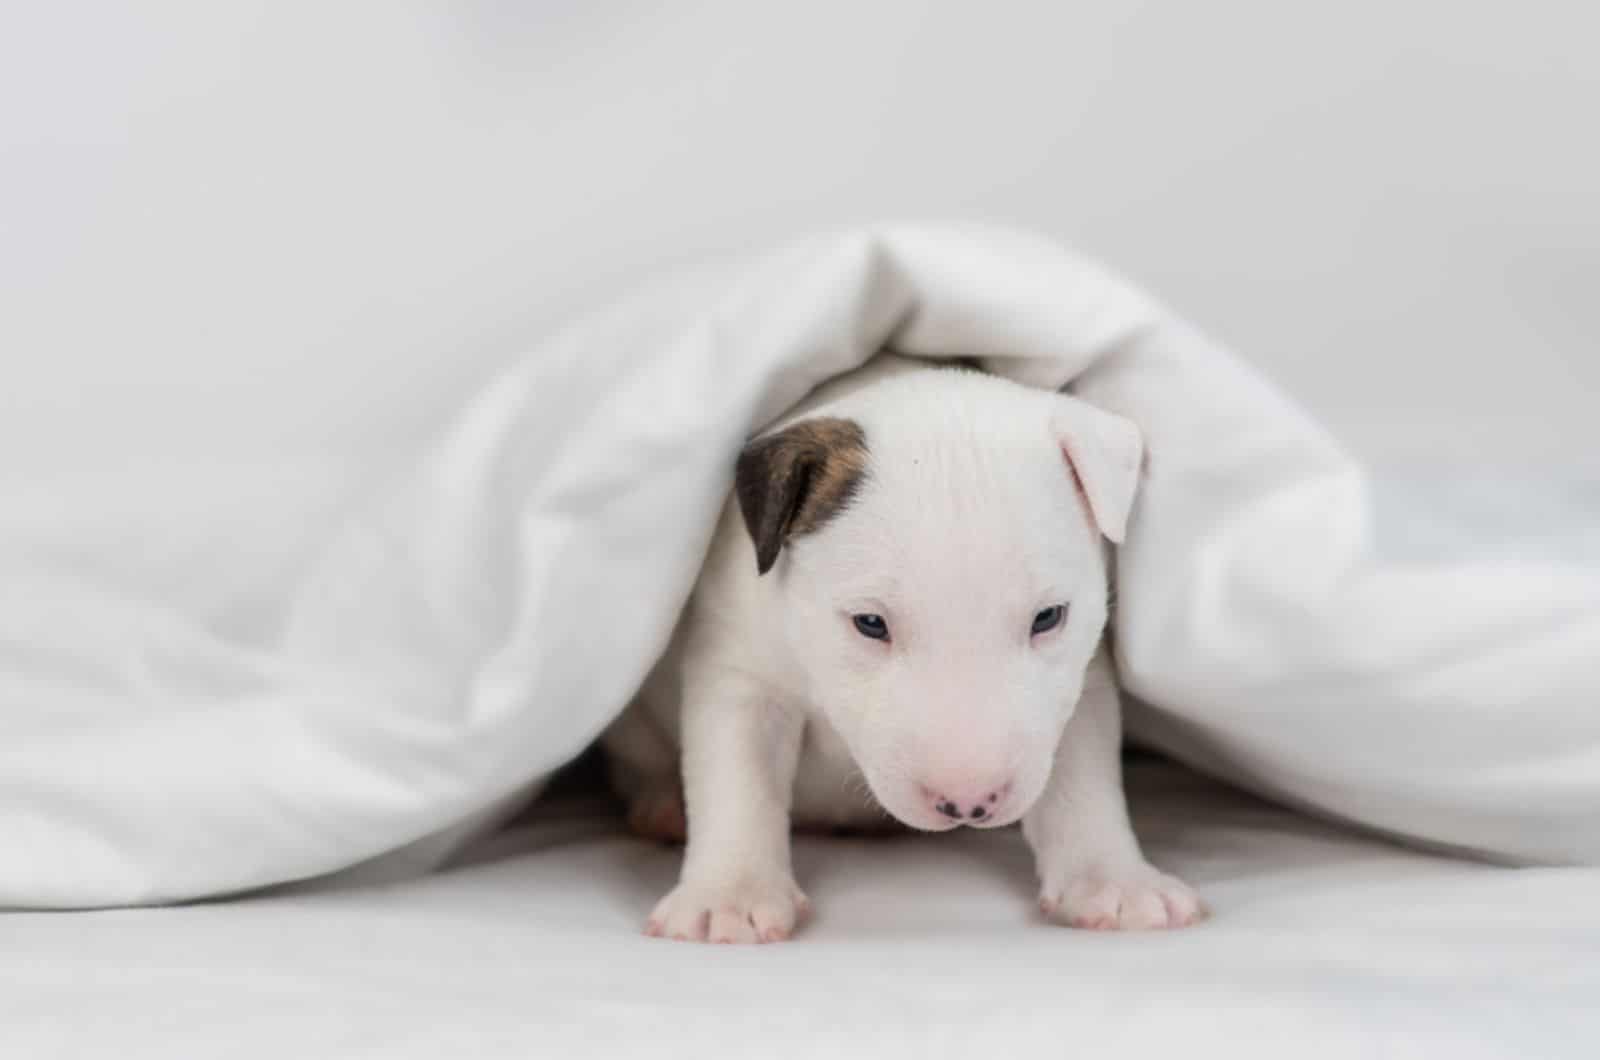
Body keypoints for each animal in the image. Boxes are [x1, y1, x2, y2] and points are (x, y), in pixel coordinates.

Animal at [601, 357, 1203, 947]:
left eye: (1048, 617)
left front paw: (1114, 883)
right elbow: (739, 776)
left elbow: (1084, 780)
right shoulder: (741, 674)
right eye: (870, 623)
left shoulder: (1081, 684)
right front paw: (729, 897)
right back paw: (664, 805)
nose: (968, 803)